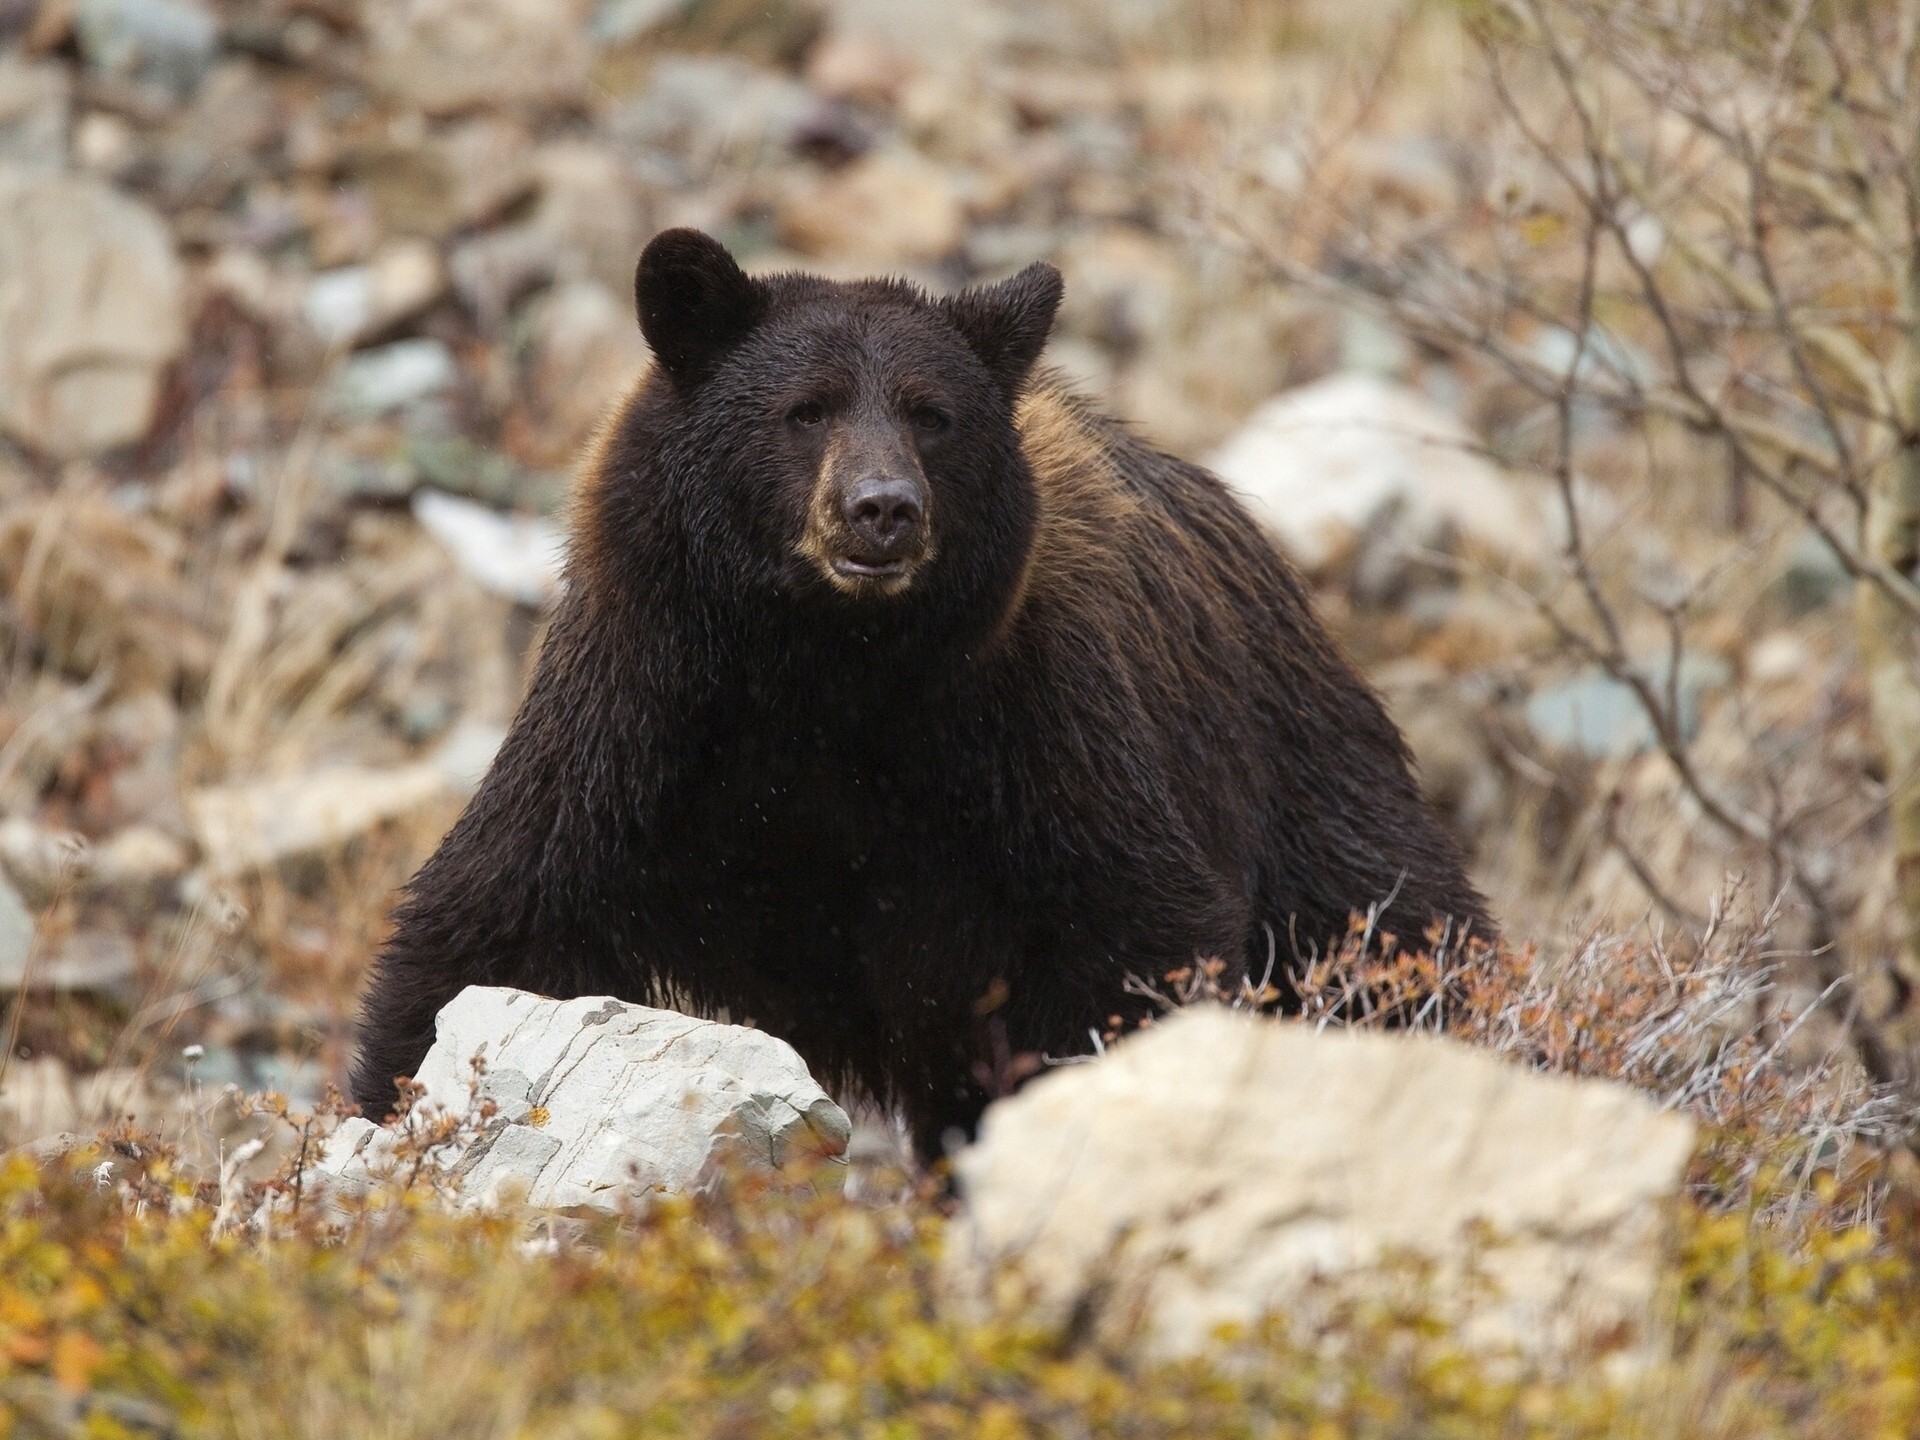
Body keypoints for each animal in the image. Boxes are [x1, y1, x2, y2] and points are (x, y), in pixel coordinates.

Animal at [351, 228, 1491, 1160]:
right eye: (803, 408)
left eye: (932, 415)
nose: (882, 509)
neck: (823, 673)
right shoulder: (642, 712)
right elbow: (500, 914)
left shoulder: (1035, 733)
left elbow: (1137, 939)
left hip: (1297, 771)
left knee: (1392, 932)